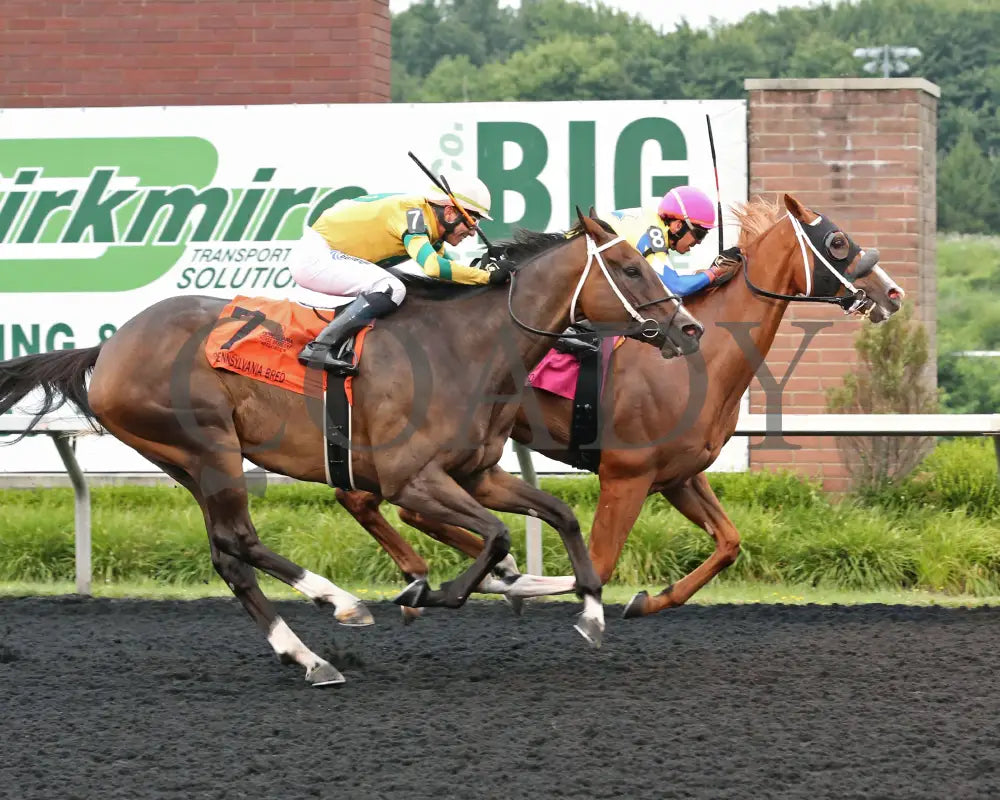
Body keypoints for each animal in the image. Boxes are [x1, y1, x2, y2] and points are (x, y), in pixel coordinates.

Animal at [0, 209, 704, 684]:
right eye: (631, 267)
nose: (690, 328)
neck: (467, 349)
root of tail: (110, 344)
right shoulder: (412, 479)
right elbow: (497, 537)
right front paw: (431, 593)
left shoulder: (476, 474)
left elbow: (558, 515)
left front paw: (590, 611)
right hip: (209, 448)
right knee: (240, 541)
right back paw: (339, 606)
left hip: (185, 462)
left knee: (229, 556)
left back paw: (308, 655)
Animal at [334, 194, 908, 620]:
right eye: (837, 241)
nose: (893, 293)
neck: (700, 359)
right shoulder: (626, 474)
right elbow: (600, 565)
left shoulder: (679, 475)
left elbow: (728, 543)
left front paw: (647, 600)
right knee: (377, 500)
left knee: (396, 505)